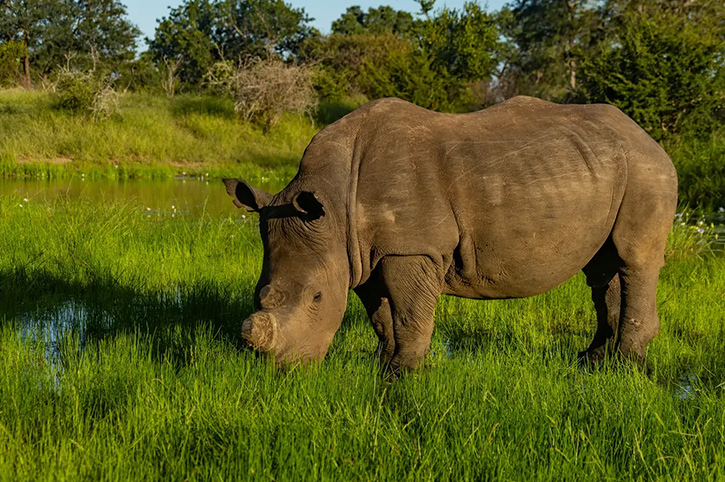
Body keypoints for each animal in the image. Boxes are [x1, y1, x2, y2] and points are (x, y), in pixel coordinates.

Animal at [223, 96, 677, 373]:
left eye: (317, 298)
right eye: (258, 293)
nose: (283, 369)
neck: (336, 205)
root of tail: (648, 136)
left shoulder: (412, 248)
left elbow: (409, 314)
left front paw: (402, 375)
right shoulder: (361, 253)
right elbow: (382, 317)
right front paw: (381, 365)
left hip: (646, 170)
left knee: (634, 260)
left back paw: (625, 366)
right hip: (605, 169)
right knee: (602, 269)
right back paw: (592, 361)